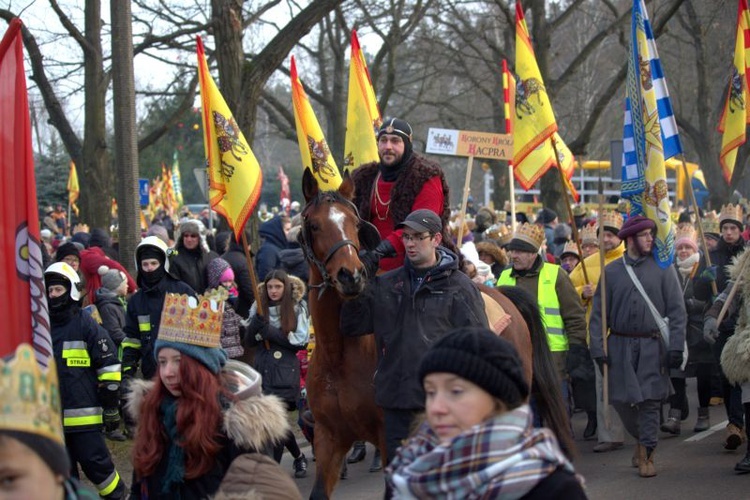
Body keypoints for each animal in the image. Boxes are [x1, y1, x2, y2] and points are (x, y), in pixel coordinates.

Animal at [302, 170, 572, 498]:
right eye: (314, 225)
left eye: (354, 223)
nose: (351, 275)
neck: (339, 354)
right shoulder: (328, 439)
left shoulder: (389, 436)